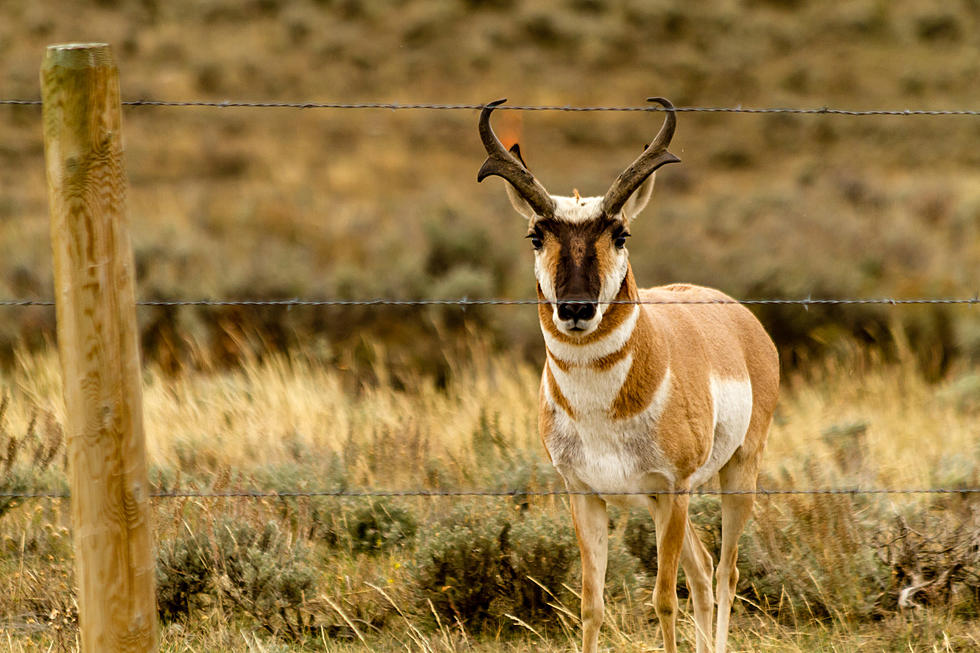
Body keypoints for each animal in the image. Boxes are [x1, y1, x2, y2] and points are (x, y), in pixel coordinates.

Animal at [476, 98, 780, 652]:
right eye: (535, 235)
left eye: (621, 234)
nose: (576, 308)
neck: (600, 412)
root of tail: (737, 315)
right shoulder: (585, 495)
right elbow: (590, 604)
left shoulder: (671, 489)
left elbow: (663, 600)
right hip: (668, 505)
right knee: (703, 570)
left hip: (736, 475)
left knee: (725, 573)